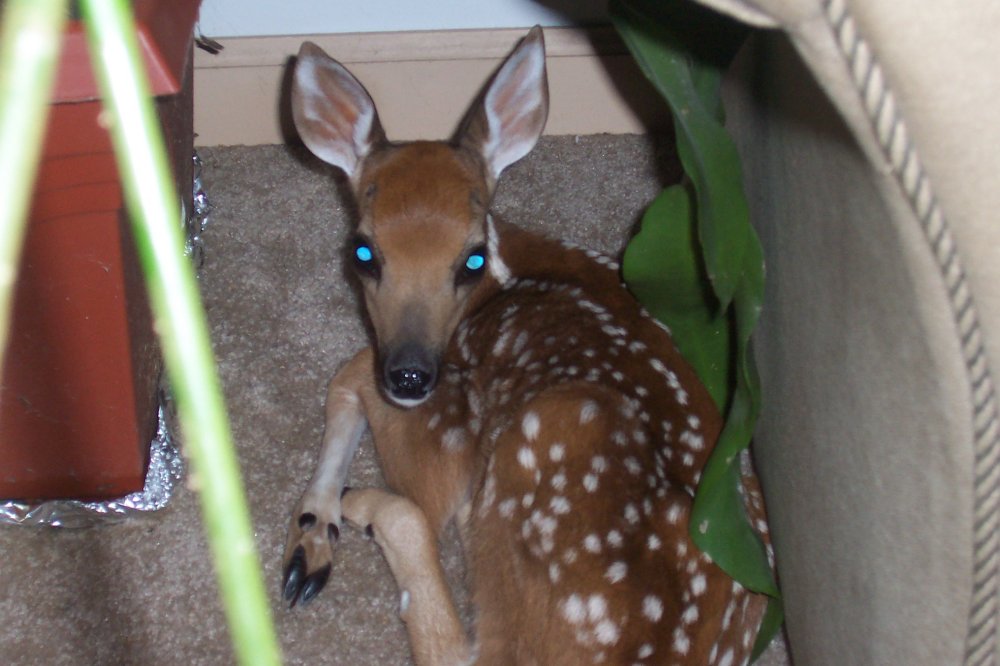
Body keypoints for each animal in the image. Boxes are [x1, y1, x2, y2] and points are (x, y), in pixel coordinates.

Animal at [281, 26, 770, 666]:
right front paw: (313, 528)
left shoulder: (446, 429)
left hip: (537, 446)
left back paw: (362, 506)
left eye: (470, 259)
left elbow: (355, 373)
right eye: (363, 251)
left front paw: (320, 525)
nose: (410, 376)